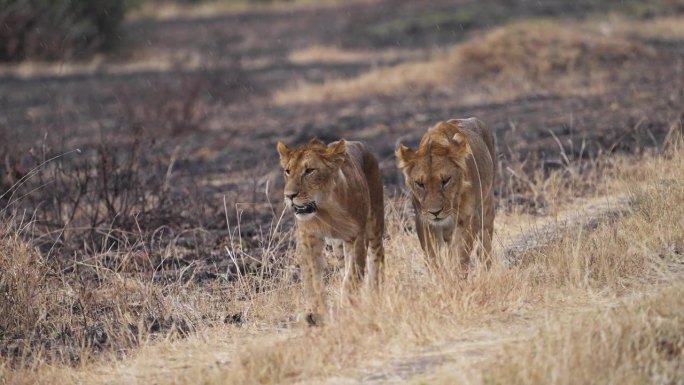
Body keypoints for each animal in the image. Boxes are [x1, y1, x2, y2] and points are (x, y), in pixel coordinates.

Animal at [276, 138, 384, 324]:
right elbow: (312, 279)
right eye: (287, 171)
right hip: (338, 247)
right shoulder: (308, 238)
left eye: (309, 170)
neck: (326, 209)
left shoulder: (357, 236)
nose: (289, 195)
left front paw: (348, 304)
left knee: (376, 257)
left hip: (374, 224)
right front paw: (316, 312)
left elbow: (352, 275)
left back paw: (374, 296)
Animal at [396, 117, 496, 272]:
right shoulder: (424, 221)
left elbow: (461, 257)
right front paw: (439, 276)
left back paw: (486, 270)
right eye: (420, 183)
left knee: (485, 241)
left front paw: (456, 276)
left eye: (446, 180)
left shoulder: (468, 219)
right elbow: (432, 256)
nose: (435, 212)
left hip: (487, 206)